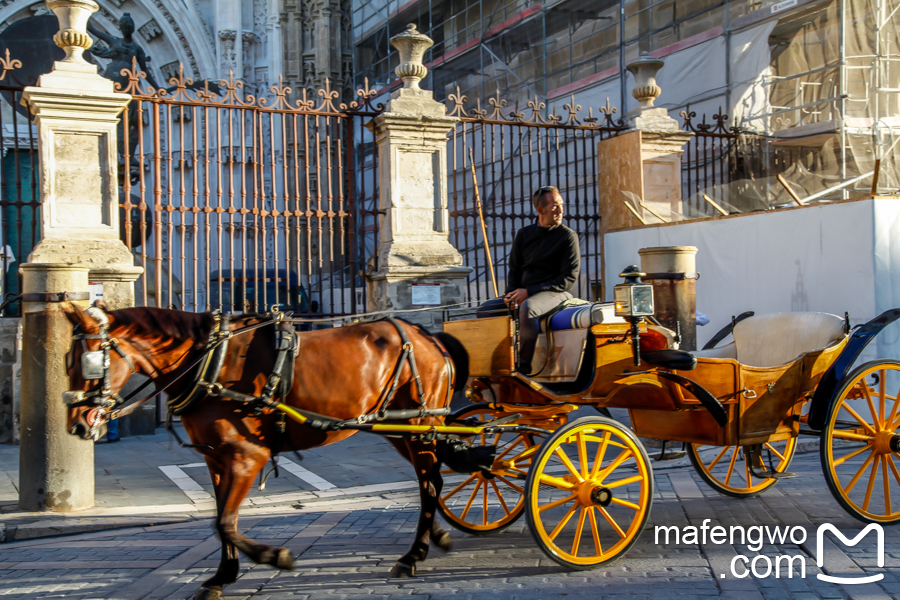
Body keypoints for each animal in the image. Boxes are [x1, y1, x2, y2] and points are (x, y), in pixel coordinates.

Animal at [62, 304, 468, 600]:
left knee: (429, 482)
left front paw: (273, 556)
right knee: (428, 480)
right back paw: (434, 537)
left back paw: (413, 554)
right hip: (400, 429)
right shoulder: (215, 456)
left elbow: (224, 521)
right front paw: (221, 576)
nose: (77, 425)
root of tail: (427, 335)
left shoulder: (246, 456)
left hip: (421, 425)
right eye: (66, 359)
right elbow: (223, 519)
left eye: (89, 361)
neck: (210, 361)